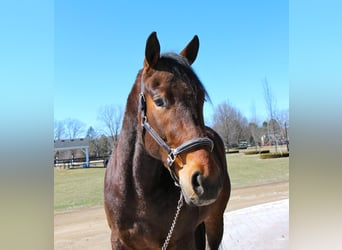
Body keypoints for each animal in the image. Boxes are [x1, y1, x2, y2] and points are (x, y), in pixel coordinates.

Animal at [104, 32, 231, 249]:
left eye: (201, 99)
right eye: (159, 101)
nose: (207, 180)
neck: (138, 193)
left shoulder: (182, 239)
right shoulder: (118, 241)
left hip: (215, 221)